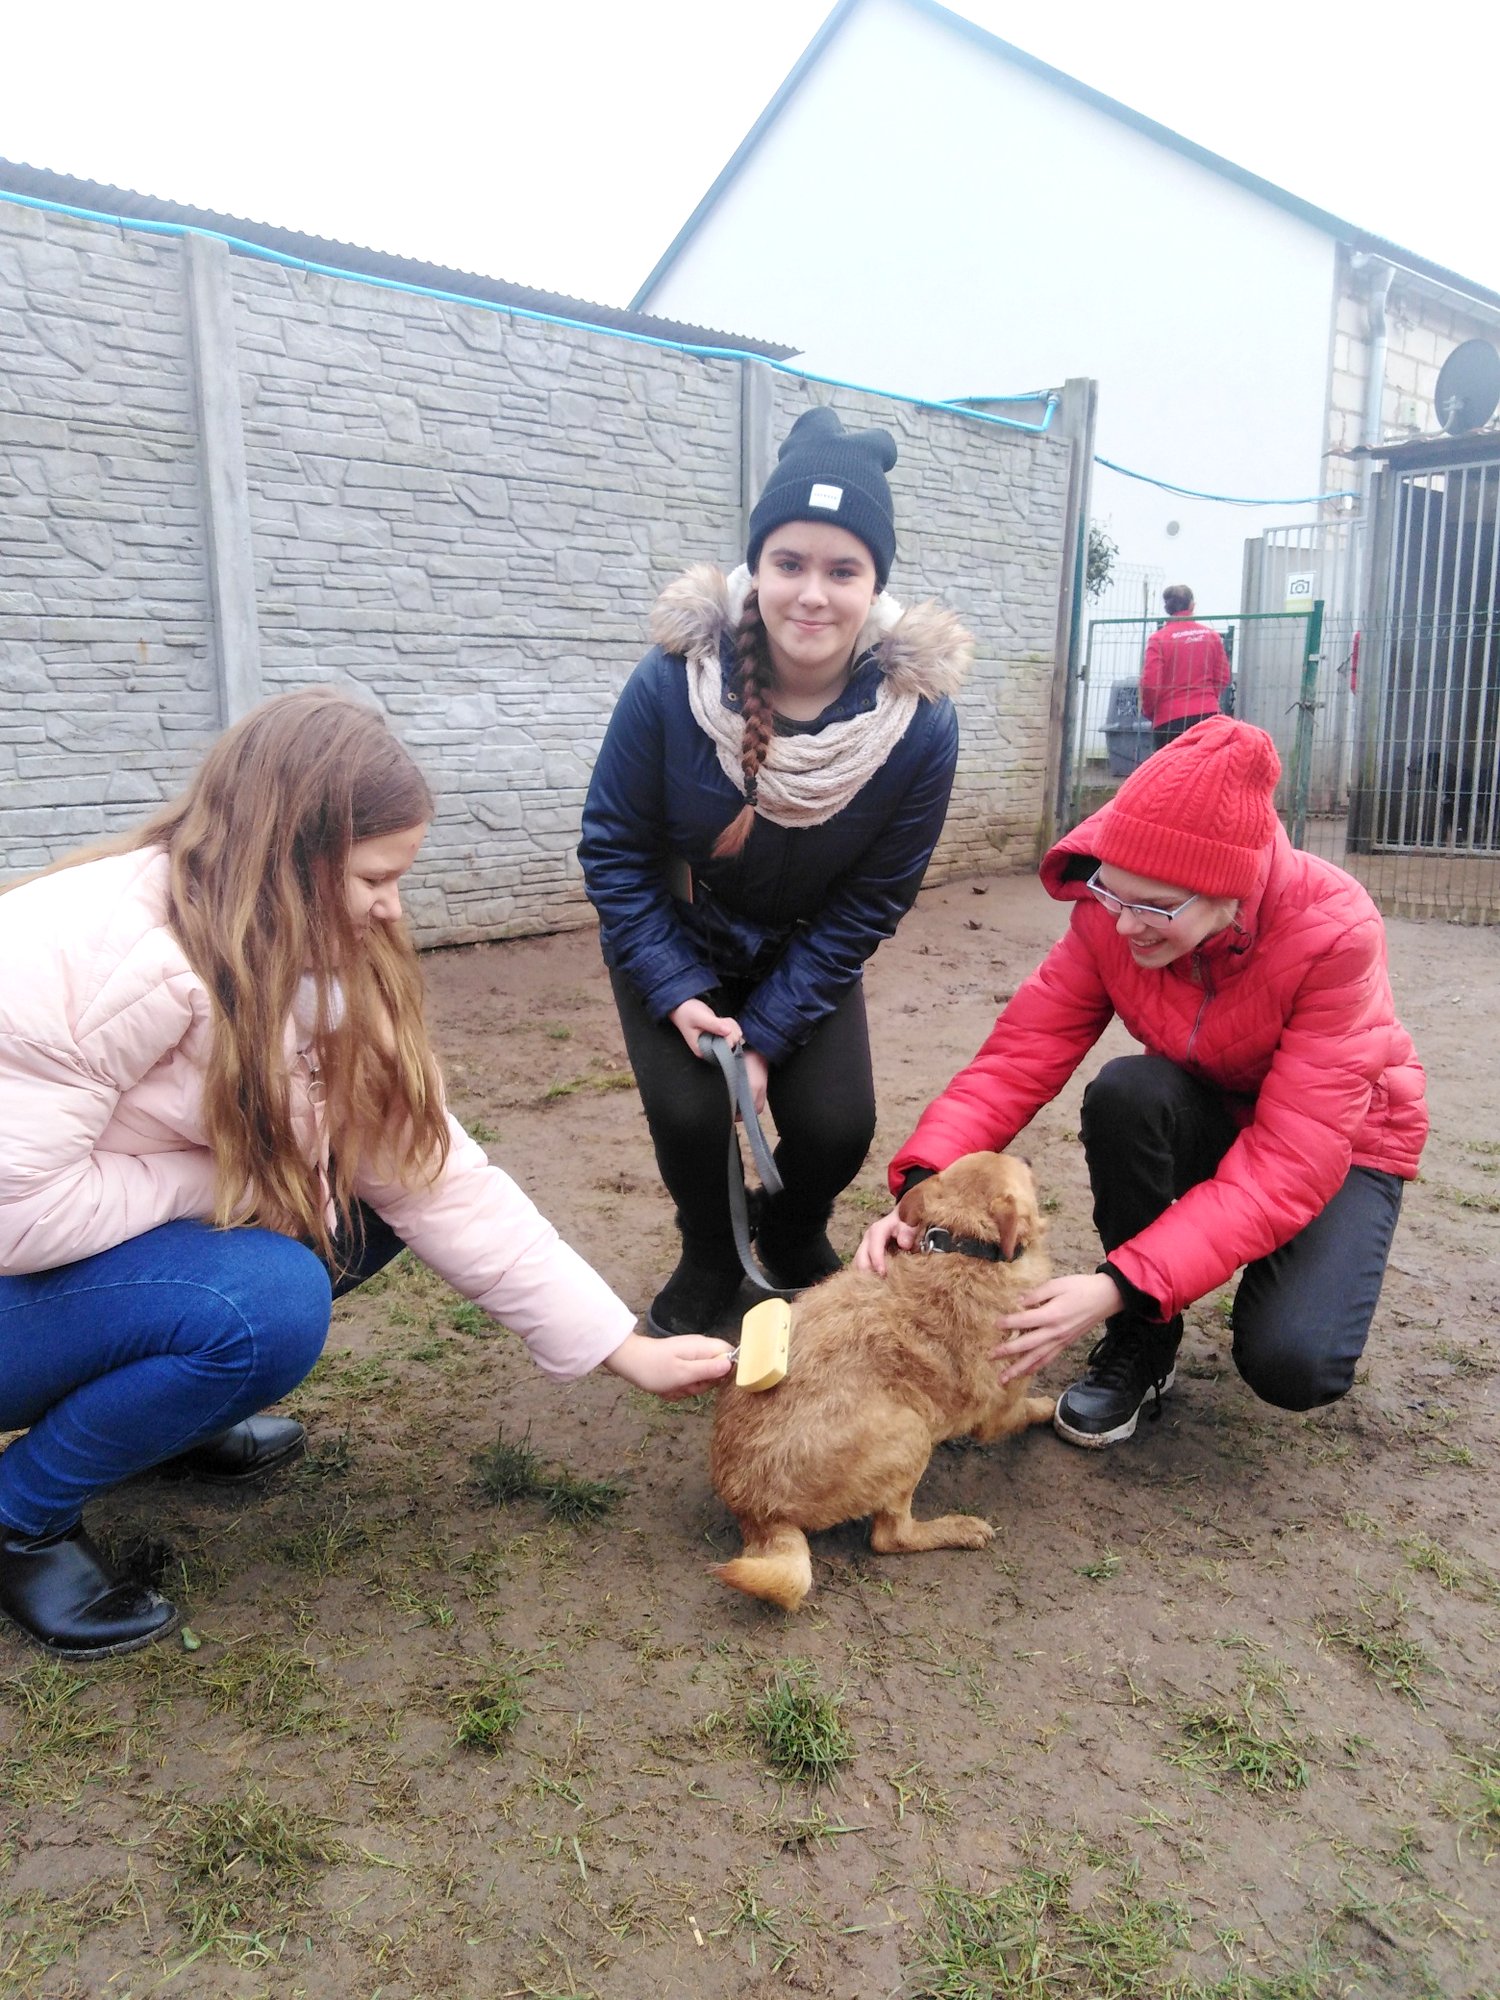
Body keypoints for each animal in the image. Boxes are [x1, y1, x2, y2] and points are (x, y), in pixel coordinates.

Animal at [709, 1152, 1055, 1613]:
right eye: (1024, 1172)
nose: (1029, 1155)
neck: (964, 1244)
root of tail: (756, 1512)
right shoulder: (1003, 1405)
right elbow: (1027, 1409)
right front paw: (1050, 1407)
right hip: (912, 1434)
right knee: (890, 1537)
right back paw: (959, 1529)